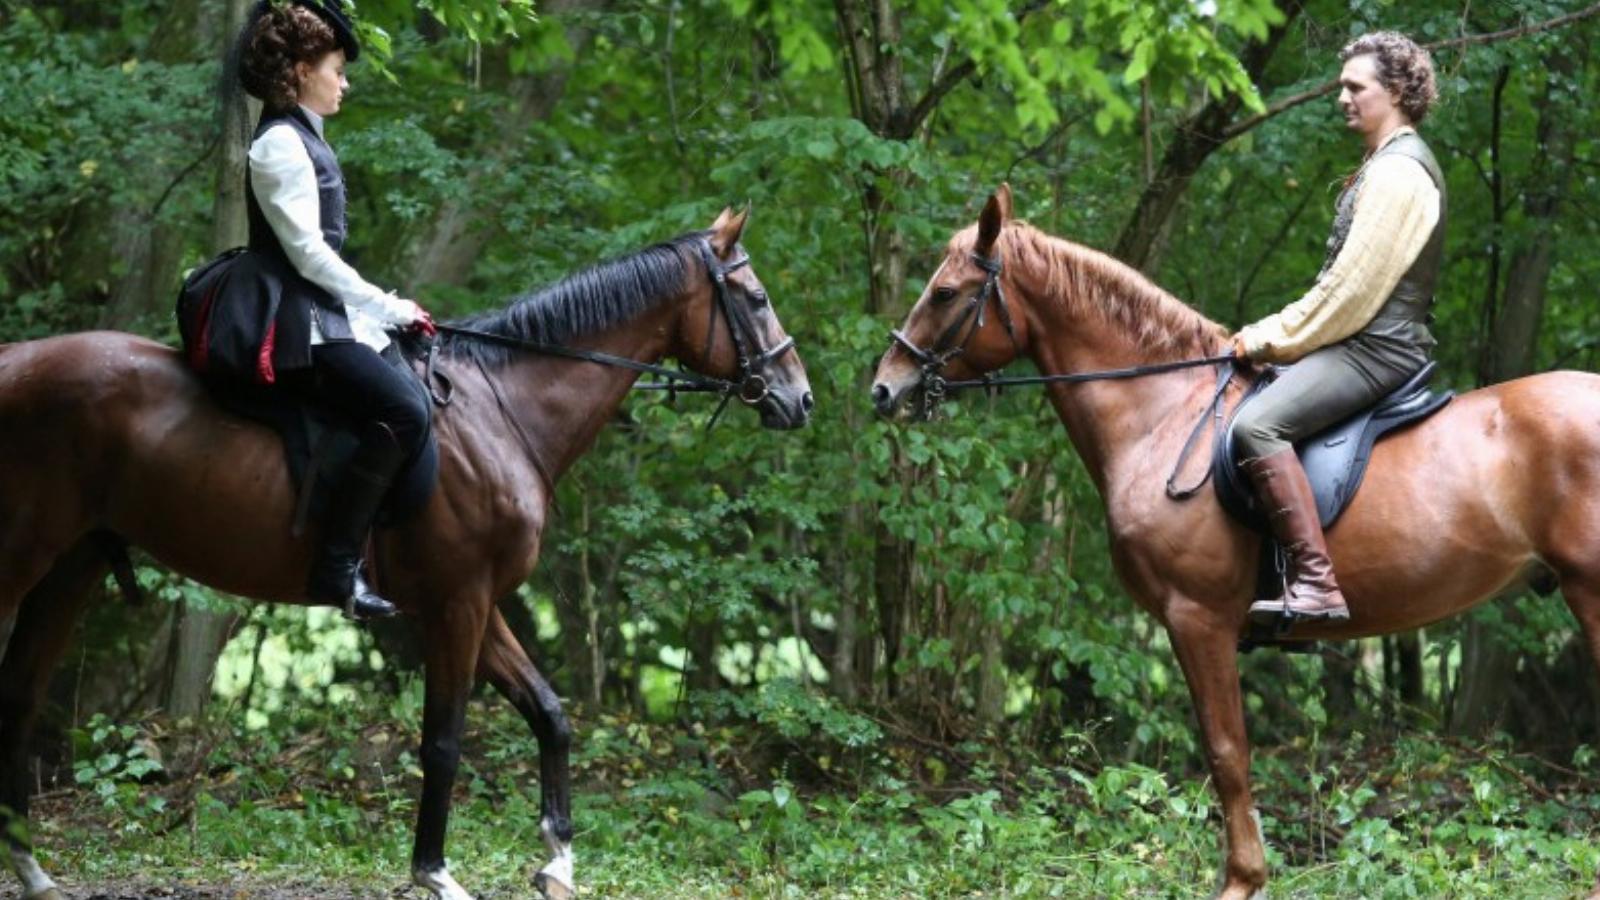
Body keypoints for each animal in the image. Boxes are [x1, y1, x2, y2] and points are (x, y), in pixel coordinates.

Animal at [0, 206, 812, 890]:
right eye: (756, 298)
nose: (798, 398)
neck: (501, 410)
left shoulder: (475, 603)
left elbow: (548, 711)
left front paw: (557, 862)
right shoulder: (456, 603)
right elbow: (444, 741)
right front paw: (435, 873)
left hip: (71, 566)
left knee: (22, 693)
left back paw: (33, 870)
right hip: (23, 557)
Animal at [870, 184, 1600, 896]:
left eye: (944, 292)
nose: (884, 387)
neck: (1163, 414)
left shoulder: (1198, 618)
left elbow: (1226, 753)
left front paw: (1244, 881)